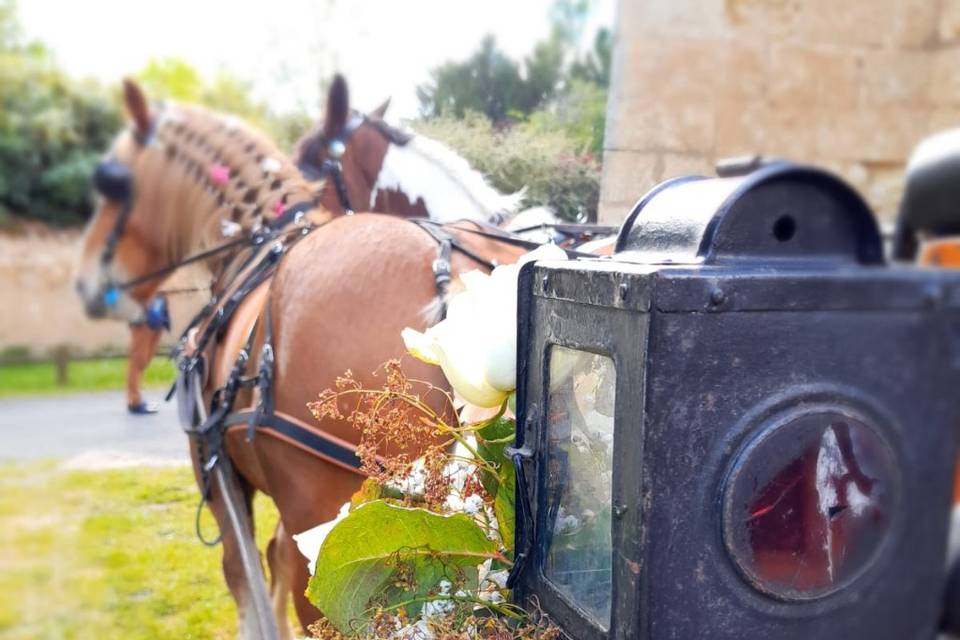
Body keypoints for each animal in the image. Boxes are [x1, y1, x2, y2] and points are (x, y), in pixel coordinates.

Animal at [77, 81, 532, 640]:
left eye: (113, 184)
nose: (85, 282)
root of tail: (451, 274)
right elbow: (271, 558)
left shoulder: (218, 474)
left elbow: (244, 576)